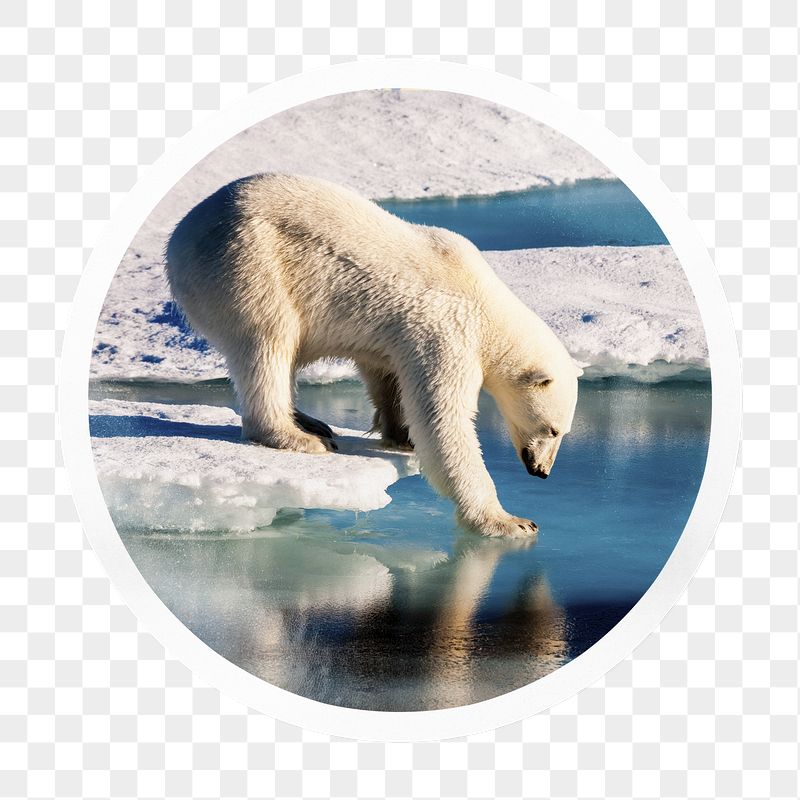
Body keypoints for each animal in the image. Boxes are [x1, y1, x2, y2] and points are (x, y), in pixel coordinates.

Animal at [165, 174, 580, 537]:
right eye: (552, 429)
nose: (542, 471)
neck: (485, 302)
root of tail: (180, 235)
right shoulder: (448, 331)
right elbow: (444, 420)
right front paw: (510, 521)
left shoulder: (399, 335)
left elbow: (387, 375)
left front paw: (401, 435)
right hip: (248, 263)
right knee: (268, 341)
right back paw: (299, 437)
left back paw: (311, 421)